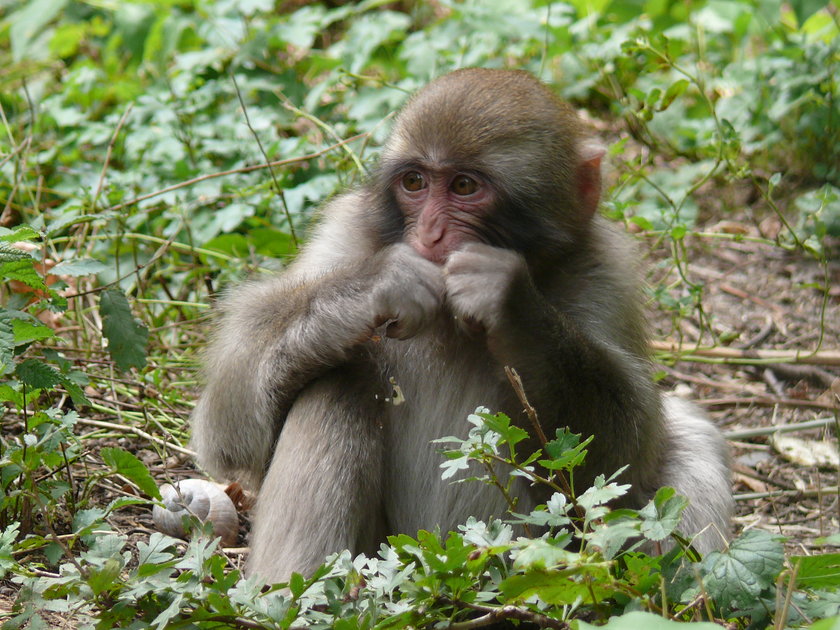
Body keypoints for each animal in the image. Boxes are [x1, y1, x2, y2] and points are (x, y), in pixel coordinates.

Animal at [190, 68, 728, 584]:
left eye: (465, 187)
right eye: (414, 182)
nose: (429, 234)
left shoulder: (607, 272)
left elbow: (622, 454)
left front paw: (509, 303)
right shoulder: (343, 234)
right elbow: (227, 431)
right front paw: (381, 284)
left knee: (689, 434)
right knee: (336, 380)